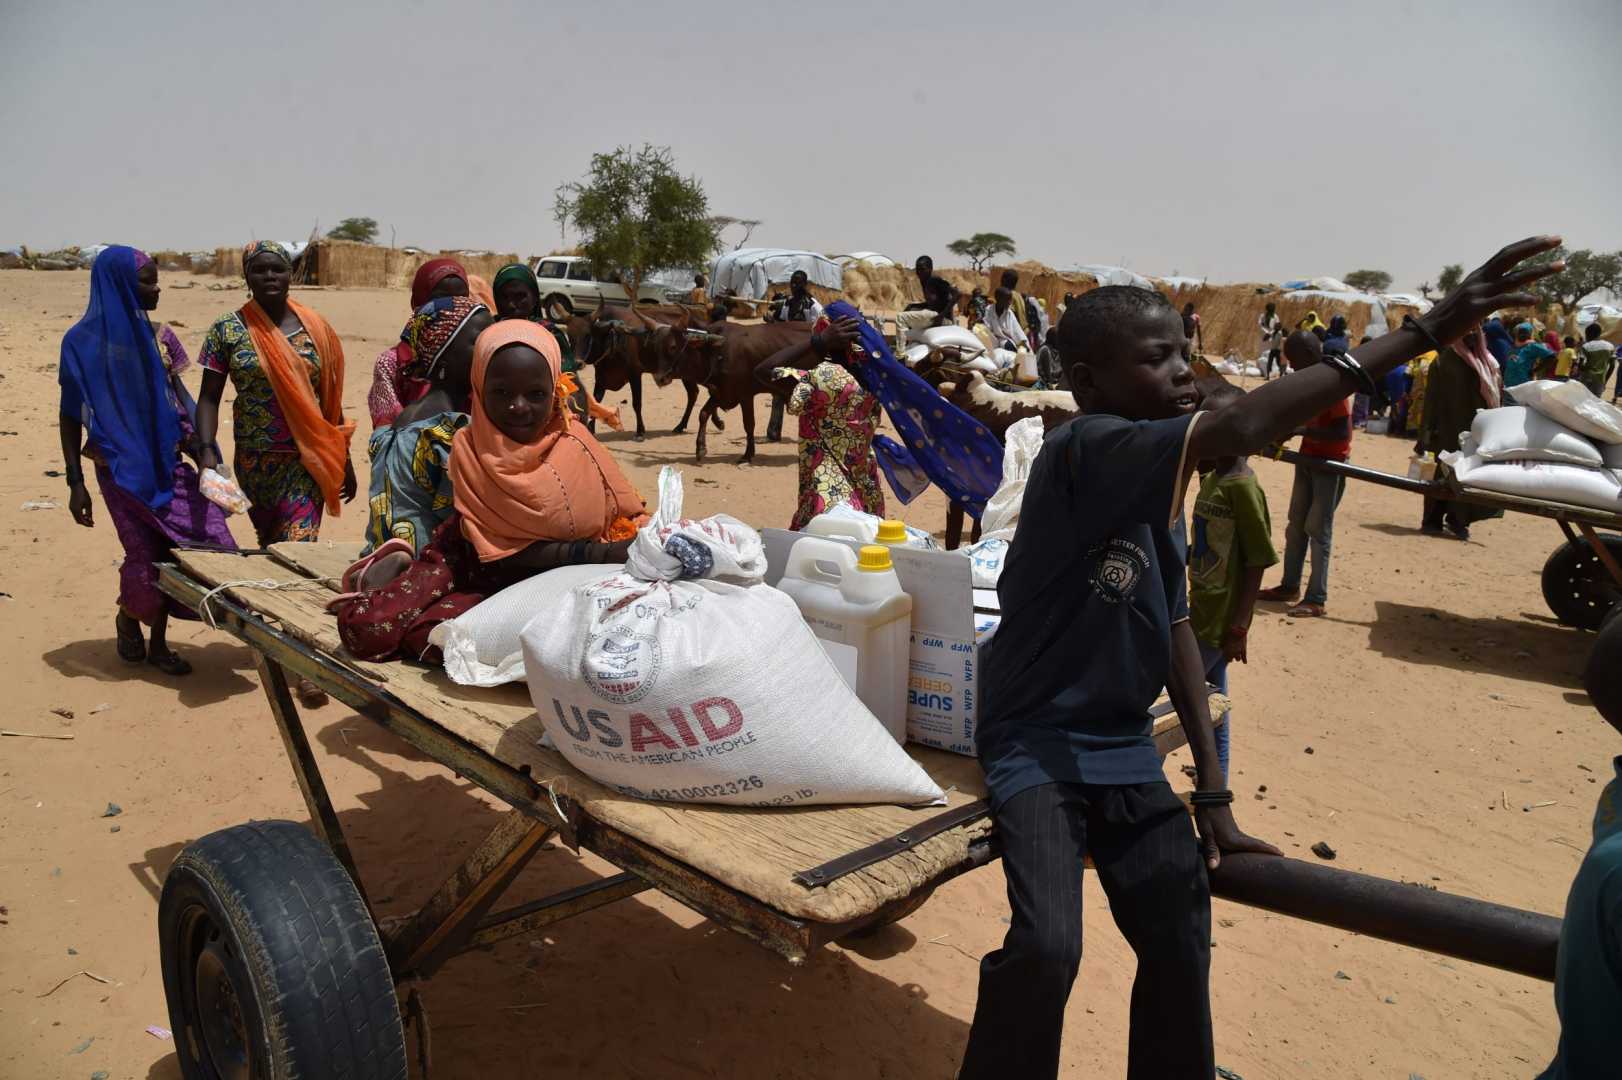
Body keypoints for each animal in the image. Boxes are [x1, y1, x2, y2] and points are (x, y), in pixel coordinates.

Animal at [652, 316, 811, 457]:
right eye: (657, 346)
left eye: (672, 347)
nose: (659, 378)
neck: (714, 352)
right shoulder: (721, 392)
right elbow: (703, 414)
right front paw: (701, 448)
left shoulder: (745, 395)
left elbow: (749, 424)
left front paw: (748, 454)